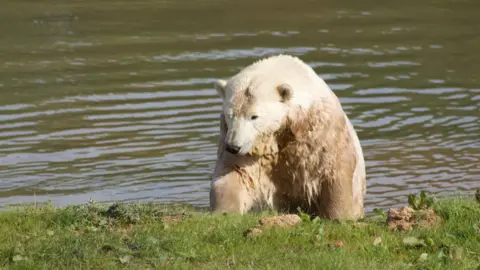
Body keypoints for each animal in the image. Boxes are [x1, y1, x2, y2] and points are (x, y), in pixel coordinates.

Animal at [208, 53, 366, 220]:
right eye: (229, 114)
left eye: (254, 116)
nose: (233, 146)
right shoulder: (245, 144)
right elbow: (235, 173)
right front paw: (224, 212)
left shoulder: (321, 133)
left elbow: (334, 171)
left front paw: (339, 216)